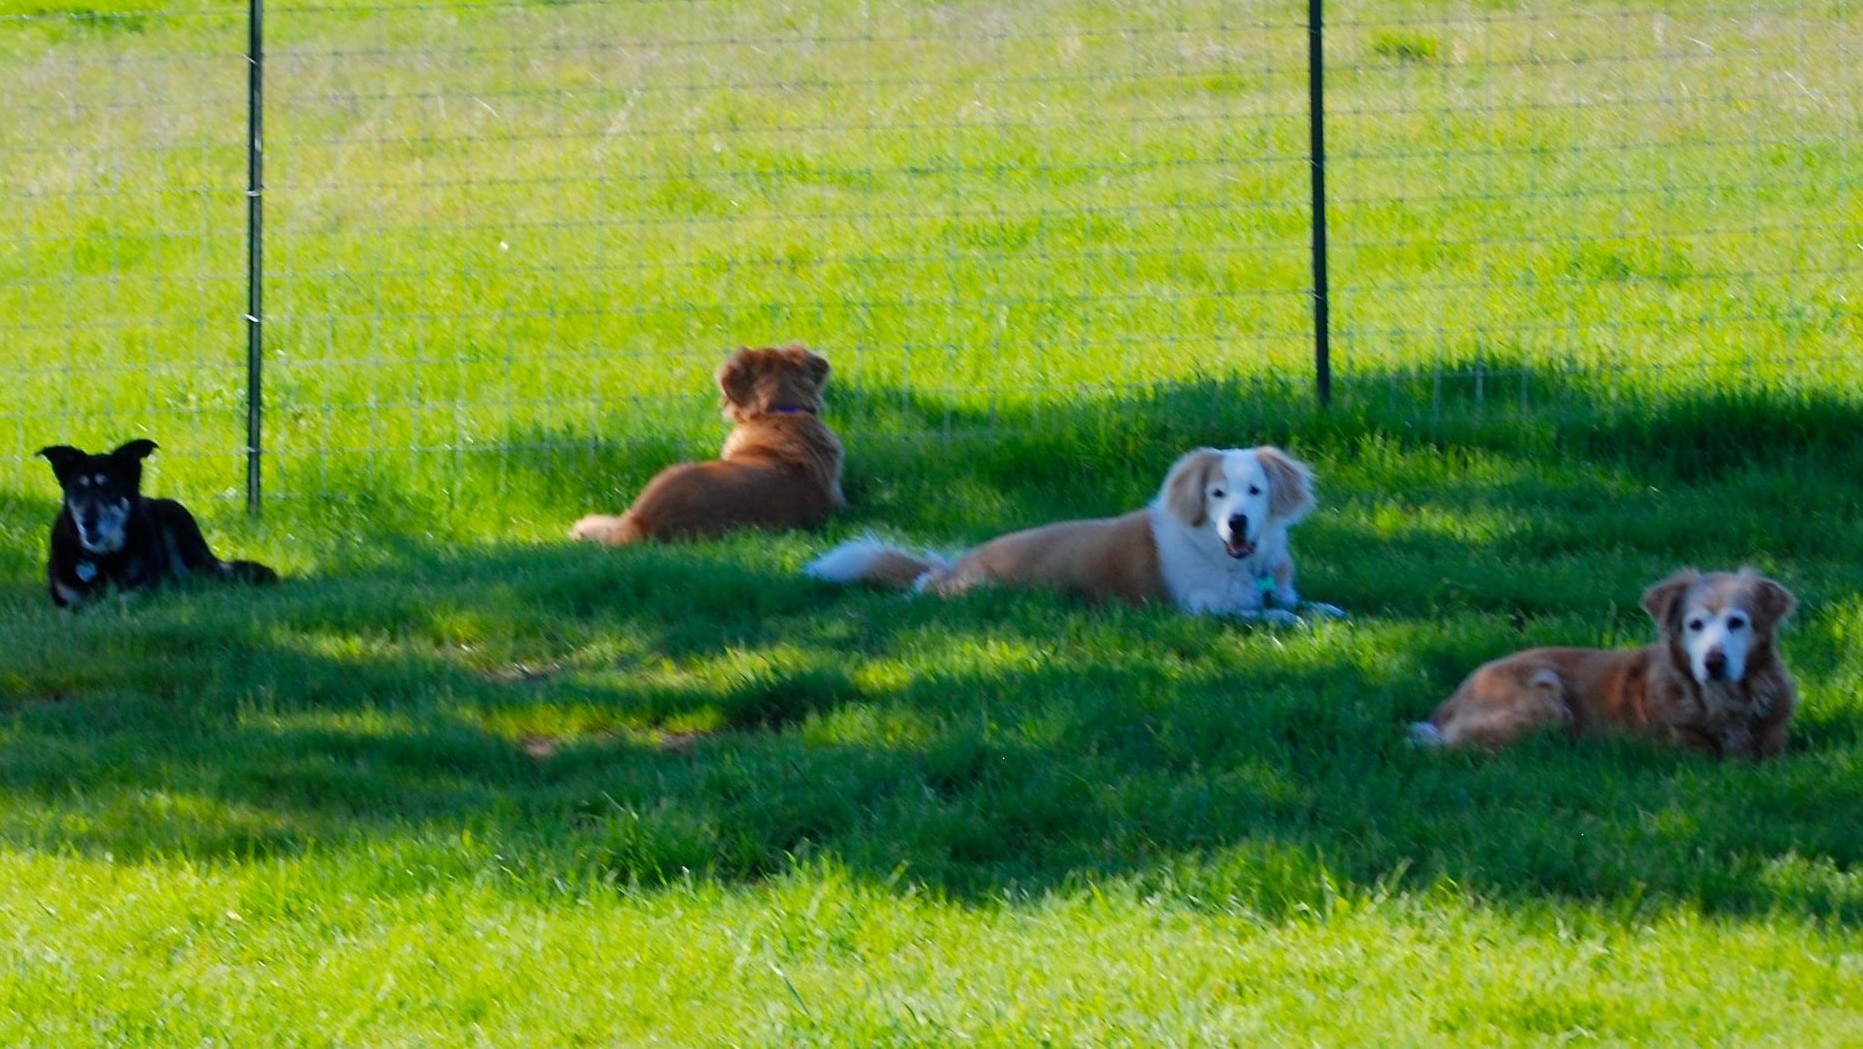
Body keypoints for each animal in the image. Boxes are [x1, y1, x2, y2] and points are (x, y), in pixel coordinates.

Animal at [37, 441, 279, 607]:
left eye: (109, 488)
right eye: (77, 489)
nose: (88, 523)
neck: (102, 558)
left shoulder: (140, 590)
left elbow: (119, 600)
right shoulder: (64, 602)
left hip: (181, 530)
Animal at [801, 447, 1341, 629]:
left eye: (1255, 491)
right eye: (1217, 493)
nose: (1237, 523)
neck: (1233, 560)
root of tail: (949, 570)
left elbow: (1306, 603)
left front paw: (1327, 609)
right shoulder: (1201, 609)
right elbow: (1264, 614)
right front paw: (1286, 619)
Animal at [1415, 570, 1795, 760]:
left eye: (1737, 622)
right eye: (1695, 625)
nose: (1714, 662)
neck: (1725, 701)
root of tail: (1452, 700)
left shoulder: (1776, 743)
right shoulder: (1684, 751)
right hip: (1545, 697)